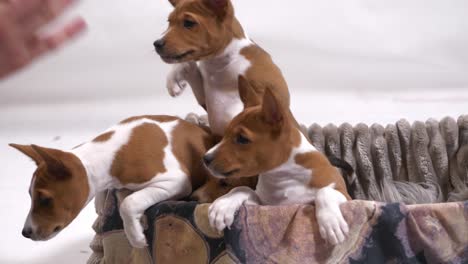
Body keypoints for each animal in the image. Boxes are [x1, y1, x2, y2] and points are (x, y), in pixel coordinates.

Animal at [9, 115, 214, 248]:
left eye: (45, 200)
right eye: (30, 196)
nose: (25, 233)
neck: (110, 153)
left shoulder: (176, 180)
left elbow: (128, 202)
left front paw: (136, 237)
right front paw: (100, 204)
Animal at [203, 81, 352, 244]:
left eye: (242, 139)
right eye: (225, 134)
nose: (205, 158)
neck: (282, 176)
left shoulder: (348, 197)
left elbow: (324, 192)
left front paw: (331, 222)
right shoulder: (265, 205)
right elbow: (243, 188)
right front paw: (224, 205)